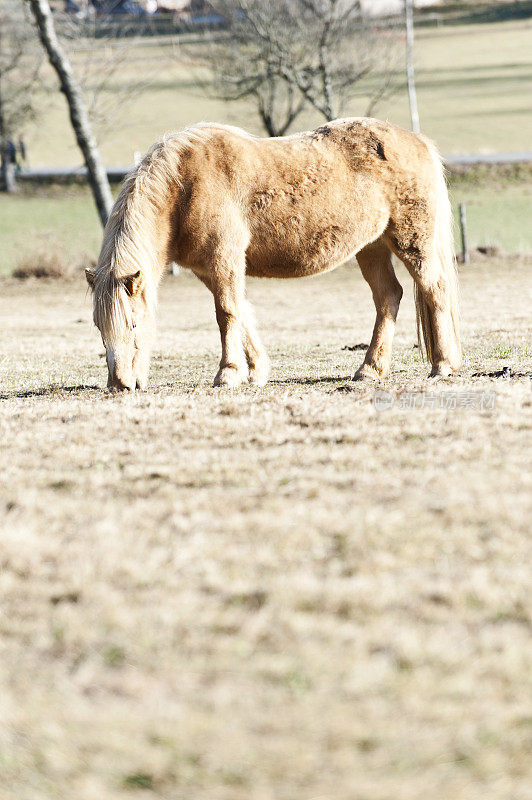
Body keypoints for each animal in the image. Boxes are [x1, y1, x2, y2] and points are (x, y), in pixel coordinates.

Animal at [85, 119, 460, 390]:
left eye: (134, 323)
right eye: (100, 329)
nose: (120, 384)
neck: (184, 186)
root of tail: (417, 140)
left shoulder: (224, 259)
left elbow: (226, 314)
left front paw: (228, 374)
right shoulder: (209, 270)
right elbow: (241, 313)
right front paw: (255, 372)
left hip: (412, 242)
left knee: (436, 290)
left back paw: (442, 366)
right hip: (371, 247)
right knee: (388, 297)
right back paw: (369, 370)